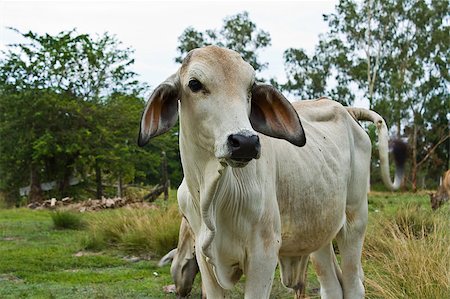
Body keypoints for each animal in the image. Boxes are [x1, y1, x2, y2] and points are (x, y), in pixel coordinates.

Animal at [139, 45, 402, 298]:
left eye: (250, 87)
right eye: (194, 84)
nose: (245, 142)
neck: (212, 194)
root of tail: (347, 110)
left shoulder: (263, 253)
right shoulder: (206, 260)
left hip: (354, 220)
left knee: (353, 285)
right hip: (319, 230)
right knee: (332, 287)